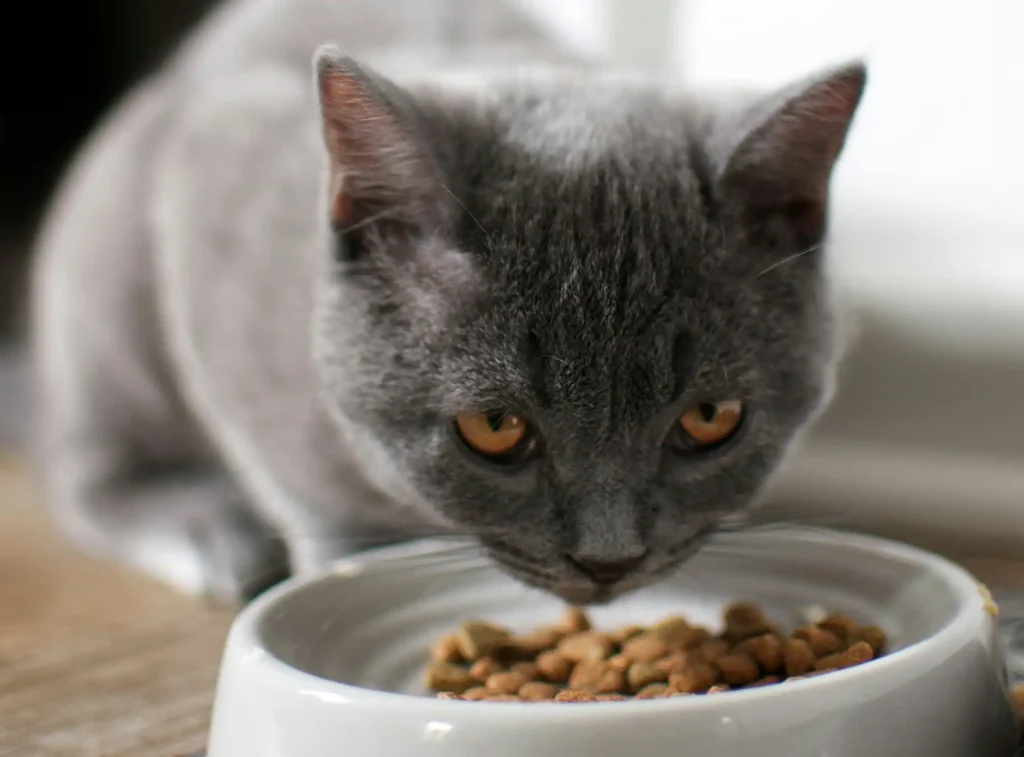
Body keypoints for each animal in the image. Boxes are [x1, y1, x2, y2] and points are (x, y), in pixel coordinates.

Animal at [29, 0, 864, 606]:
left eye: (710, 418)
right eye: (494, 427)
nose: (608, 560)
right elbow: (309, 493)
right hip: (106, 283)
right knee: (86, 469)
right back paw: (205, 532)